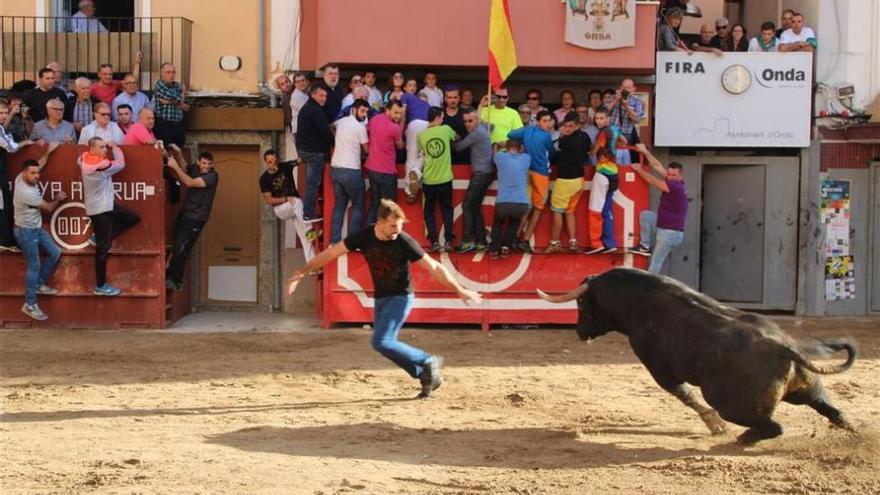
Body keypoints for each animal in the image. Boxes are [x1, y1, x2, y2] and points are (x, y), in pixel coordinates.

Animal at [540, 268, 856, 446]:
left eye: (582, 303)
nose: (579, 331)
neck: (635, 300)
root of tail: (784, 347)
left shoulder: (659, 369)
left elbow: (684, 394)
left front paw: (714, 426)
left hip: (734, 405)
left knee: (772, 426)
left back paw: (741, 439)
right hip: (809, 390)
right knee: (834, 411)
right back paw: (854, 433)